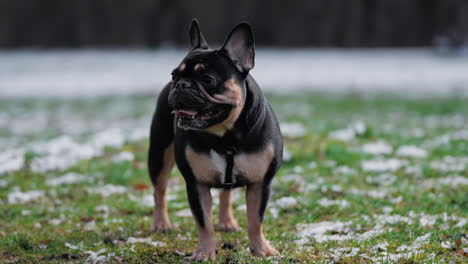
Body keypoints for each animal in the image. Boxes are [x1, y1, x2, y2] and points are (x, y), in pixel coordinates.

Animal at [148, 19, 284, 260]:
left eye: (207, 79)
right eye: (174, 75)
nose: (180, 84)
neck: (225, 135)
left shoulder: (260, 183)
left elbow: (255, 219)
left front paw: (261, 249)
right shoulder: (196, 184)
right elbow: (203, 222)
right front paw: (204, 252)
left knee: (226, 194)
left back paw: (227, 222)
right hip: (159, 153)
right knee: (160, 189)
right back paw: (161, 223)